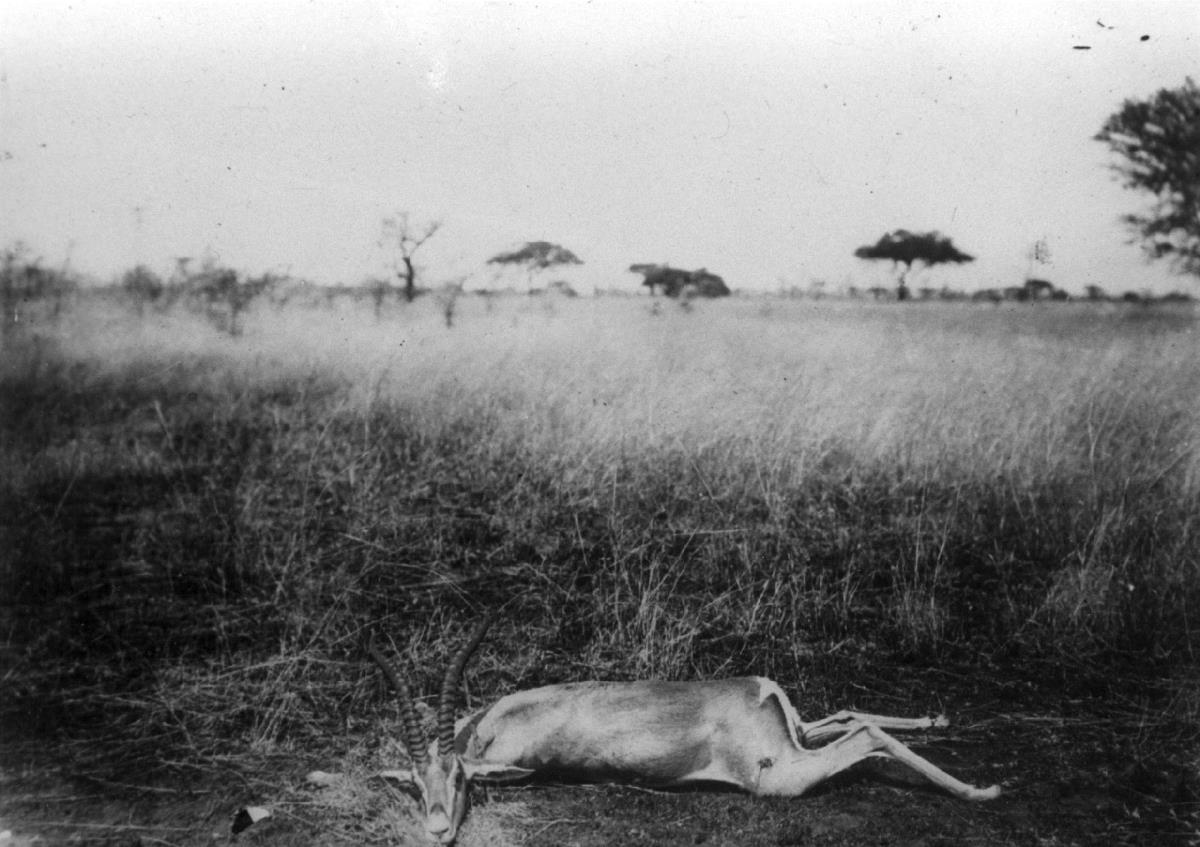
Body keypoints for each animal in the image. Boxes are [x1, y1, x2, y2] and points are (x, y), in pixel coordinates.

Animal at [368, 619, 1001, 845]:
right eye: (416, 784)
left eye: (457, 778)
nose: (437, 829)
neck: (490, 731)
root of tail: (757, 687)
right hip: (797, 739)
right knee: (850, 718)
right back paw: (941, 722)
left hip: (782, 776)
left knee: (866, 733)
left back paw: (983, 791)